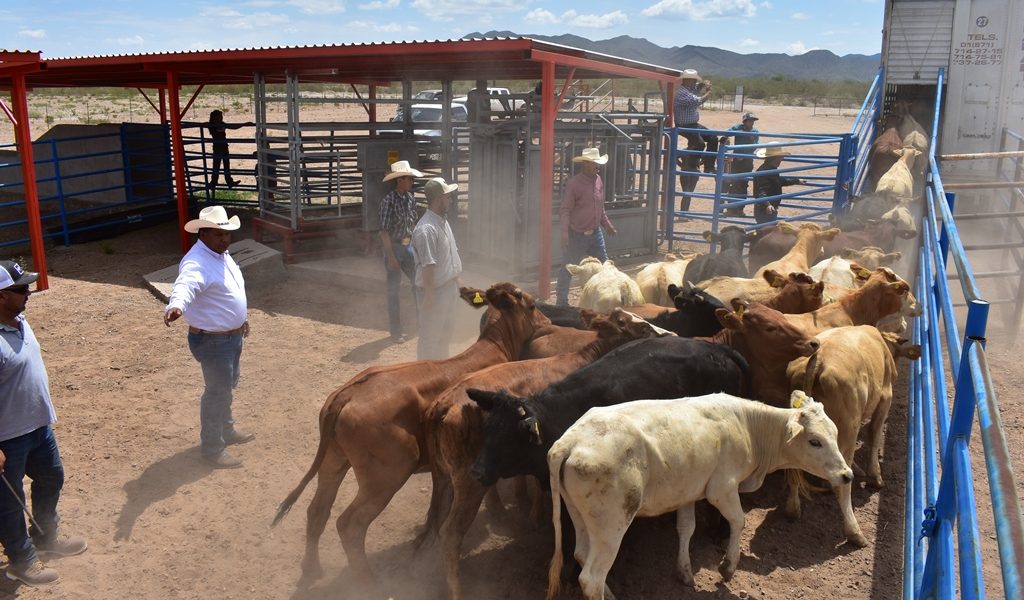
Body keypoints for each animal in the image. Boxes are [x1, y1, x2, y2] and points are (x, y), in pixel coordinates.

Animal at [270, 283, 550, 592]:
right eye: (532, 305)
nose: (548, 323)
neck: (495, 347)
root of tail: (347, 393)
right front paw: (499, 512)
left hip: (333, 460)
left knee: (317, 511)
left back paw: (312, 568)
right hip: (387, 474)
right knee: (349, 525)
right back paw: (369, 583)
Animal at [422, 309, 663, 600]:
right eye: (638, 326)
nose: (664, 335)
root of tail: (441, 406)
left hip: (443, 479)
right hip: (468, 485)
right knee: (450, 534)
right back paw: (457, 590)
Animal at [545, 391, 852, 600]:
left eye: (835, 433)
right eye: (815, 441)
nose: (847, 474)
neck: (749, 426)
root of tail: (569, 441)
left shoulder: (688, 491)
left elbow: (686, 529)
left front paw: (684, 572)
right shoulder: (722, 489)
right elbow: (738, 521)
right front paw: (728, 566)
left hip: (579, 514)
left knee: (581, 554)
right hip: (612, 523)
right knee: (591, 577)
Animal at [786, 326, 921, 547]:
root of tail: (818, 358)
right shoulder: (885, 398)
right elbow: (874, 434)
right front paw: (875, 476)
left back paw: (792, 509)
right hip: (848, 428)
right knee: (842, 485)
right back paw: (854, 532)